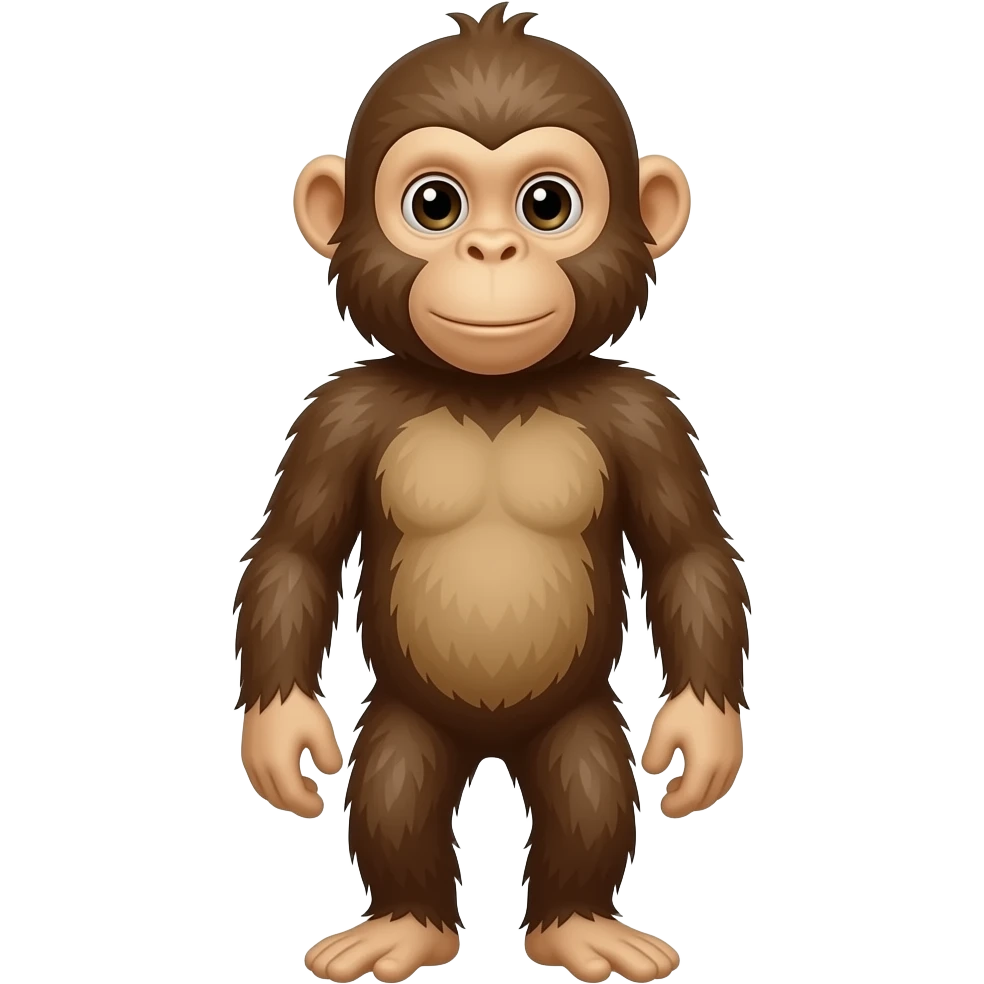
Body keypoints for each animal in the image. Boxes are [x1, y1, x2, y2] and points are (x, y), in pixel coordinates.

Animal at [238, 5, 748, 983]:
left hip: (577, 718)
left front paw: (702, 737)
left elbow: (687, 554)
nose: (491, 248)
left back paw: (577, 925)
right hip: (407, 717)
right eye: (434, 204)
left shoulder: (647, 415)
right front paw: (281, 737)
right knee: (397, 784)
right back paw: (406, 925)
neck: (492, 392)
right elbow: (296, 554)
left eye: (547, 204)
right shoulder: (337, 414)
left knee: (587, 784)